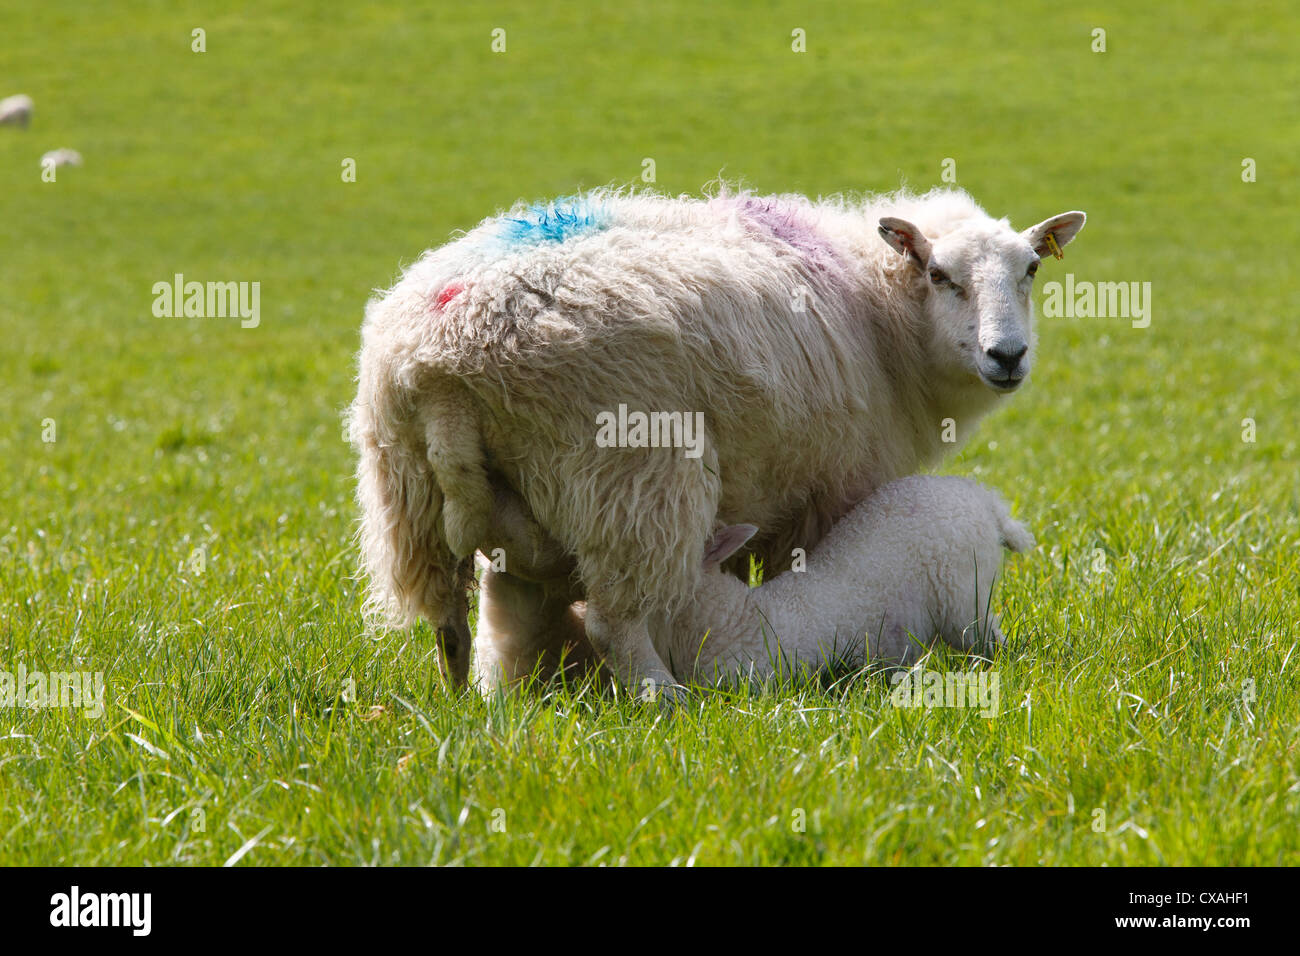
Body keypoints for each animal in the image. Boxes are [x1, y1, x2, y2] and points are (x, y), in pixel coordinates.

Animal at [348, 183, 1086, 697]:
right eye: (940, 276)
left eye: (1031, 271)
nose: (1007, 356)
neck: (881, 312)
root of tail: (441, 362)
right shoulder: (832, 488)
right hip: (634, 477)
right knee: (615, 617)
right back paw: (663, 698)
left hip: (414, 501)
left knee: (455, 622)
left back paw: (475, 705)